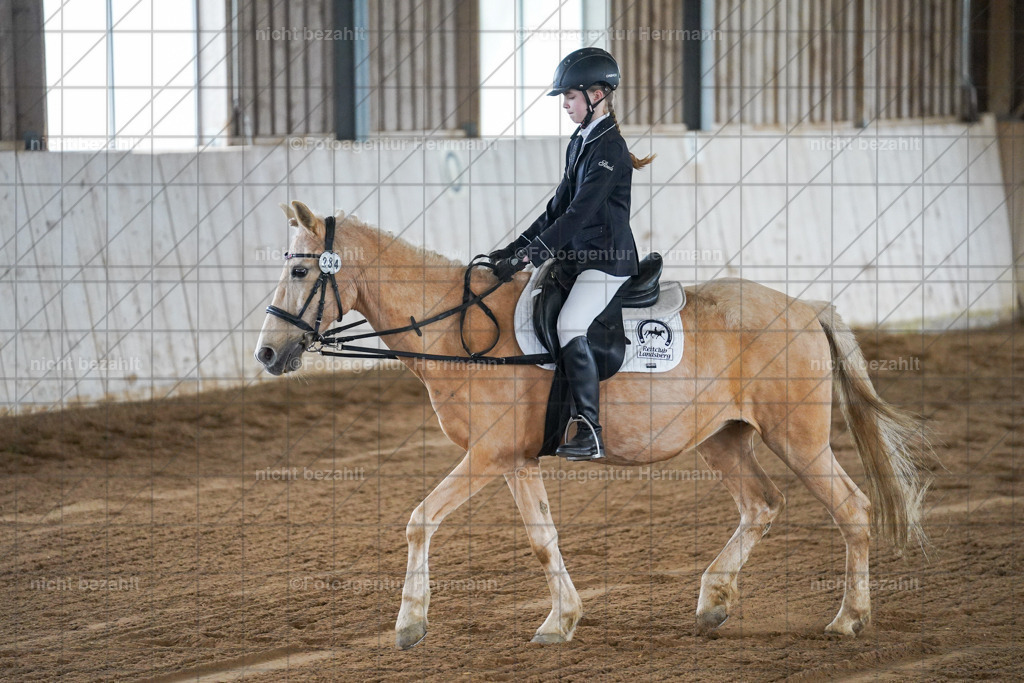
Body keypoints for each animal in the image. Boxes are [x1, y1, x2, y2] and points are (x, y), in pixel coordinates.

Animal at [255, 201, 929, 649]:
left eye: (299, 272)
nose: (265, 354)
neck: (460, 329)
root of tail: (805, 308)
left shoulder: (488, 456)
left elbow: (421, 518)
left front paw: (410, 624)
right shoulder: (514, 460)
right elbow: (542, 538)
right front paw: (561, 621)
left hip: (799, 439)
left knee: (852, 509)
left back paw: (848, 618)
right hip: (723, 439)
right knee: (762, 505)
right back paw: (713, 602)